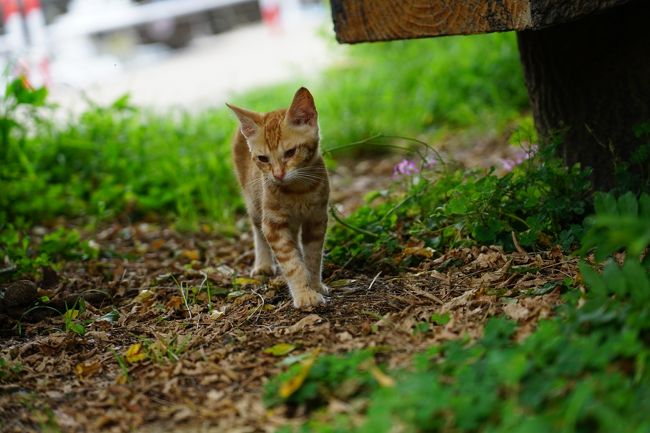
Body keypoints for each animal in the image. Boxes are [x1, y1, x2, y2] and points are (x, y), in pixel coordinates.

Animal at [227, 87, 330, 308]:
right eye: (263, 158)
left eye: (290, 152)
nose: (277, 175)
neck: (298, 190)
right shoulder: (274, 224)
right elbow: (291, 263)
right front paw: (304, 293)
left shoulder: (317, 218)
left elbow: (313, 255)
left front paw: (314, 284)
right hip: (254, 203)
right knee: (257, 230)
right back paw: (264, 264)